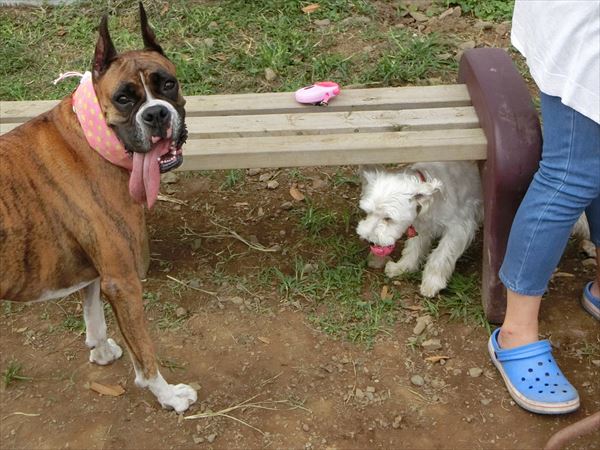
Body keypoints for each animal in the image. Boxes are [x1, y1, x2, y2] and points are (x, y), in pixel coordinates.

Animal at [0, 4, 196, 412]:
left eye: (167, 84)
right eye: (124, 98)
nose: (156, 115)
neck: (94, 140)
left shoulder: (97, 271)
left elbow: (94, 316)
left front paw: (101, 351)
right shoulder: (124, 280)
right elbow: (145, 353)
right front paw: (168, 395)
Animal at [356, 162, 483, 297]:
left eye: (388, 218)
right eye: (368, 212)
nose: (369, 240)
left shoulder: (458, 227)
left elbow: (440, 255)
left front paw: (432, 282)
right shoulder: (421, 227)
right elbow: (414, 248)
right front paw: (402, 267)